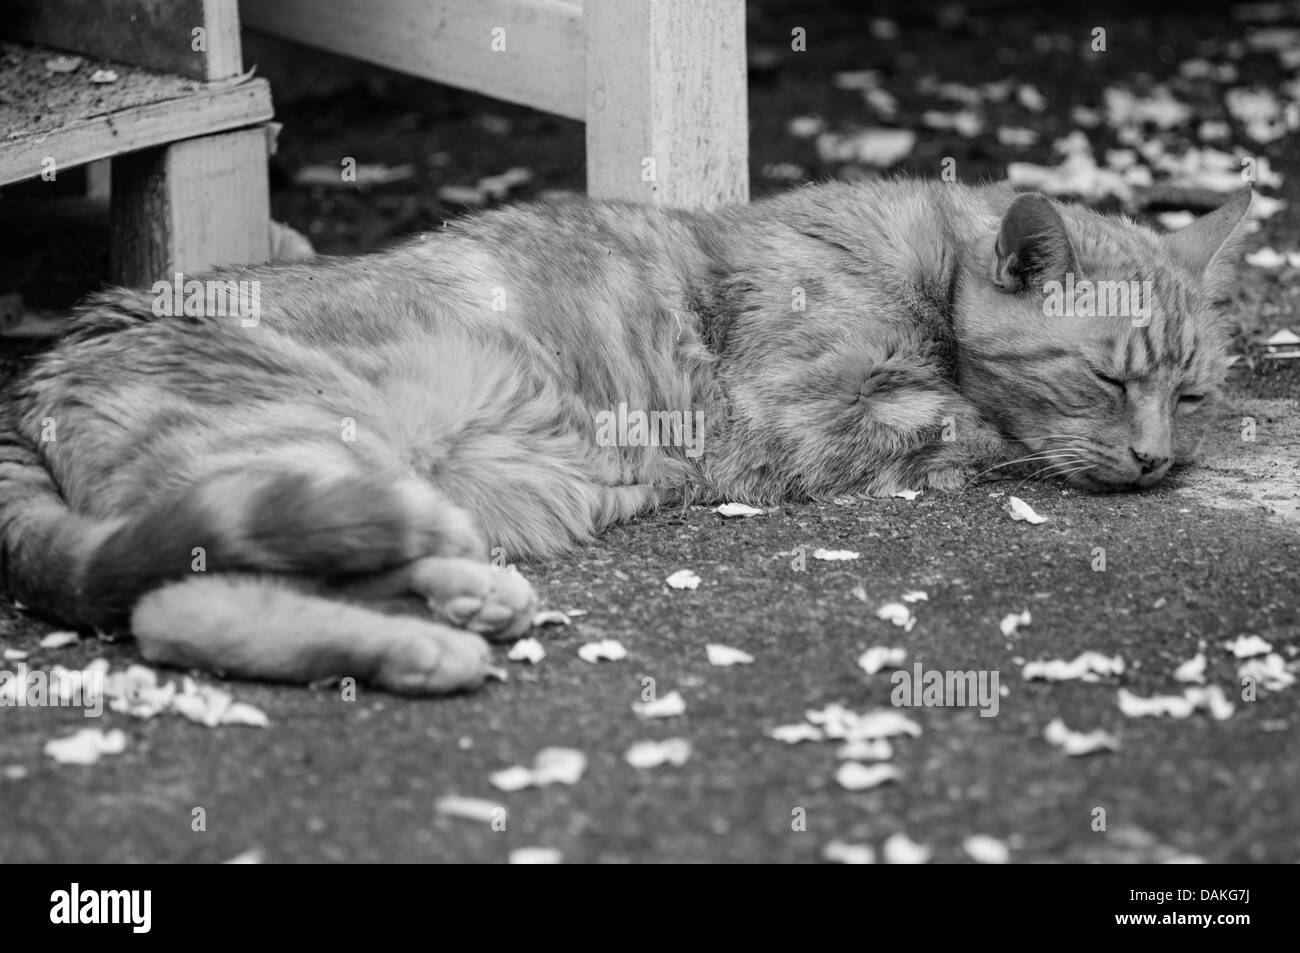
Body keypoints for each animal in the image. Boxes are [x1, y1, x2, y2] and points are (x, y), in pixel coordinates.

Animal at [0, 180, 1248, 691]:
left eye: (1189, 394)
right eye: (1105, 378)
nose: (1154, 460)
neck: (925, 264)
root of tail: (42, 366)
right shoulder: (805, 416)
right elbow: (978, 422)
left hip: (363, 483)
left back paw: (457, 610)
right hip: (312, 445)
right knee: (183, 606)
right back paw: (433, 643)